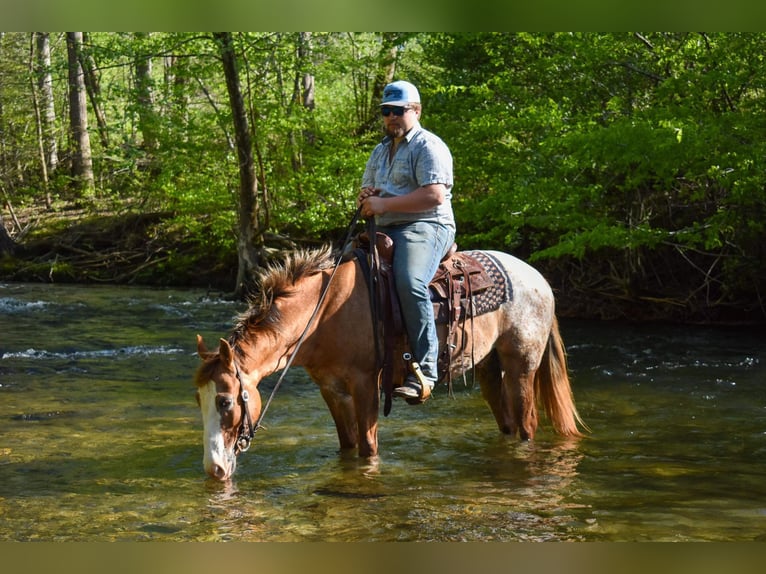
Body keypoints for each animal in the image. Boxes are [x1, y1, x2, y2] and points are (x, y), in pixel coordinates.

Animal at [195, 245, 584, 484]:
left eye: (225, 402)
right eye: (199, 401)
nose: (214, 469)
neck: (323, 315)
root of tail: (539, 278)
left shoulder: (366, 383)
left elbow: (368, 448)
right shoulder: (331, 389)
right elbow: (348, 445)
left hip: (521, 365)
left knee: (527, 425)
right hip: (489, 367)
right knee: (507, 422)